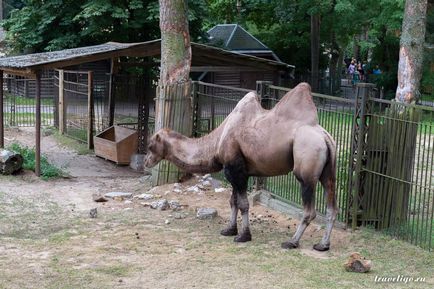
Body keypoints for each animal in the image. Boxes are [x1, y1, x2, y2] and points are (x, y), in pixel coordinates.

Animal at [146, 81, 340, 250]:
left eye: (150, 145)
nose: (146, 162)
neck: (217, 141)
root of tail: (325, 137)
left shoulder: (235, 168)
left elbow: (243, 204)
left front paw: (243, 236)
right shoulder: (236, 171)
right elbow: (233, 201)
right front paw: (229, 230)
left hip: (306, 166)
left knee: (308, 208)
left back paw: (292, 241)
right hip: (328, 171)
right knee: (332, 205)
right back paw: (323, 245)